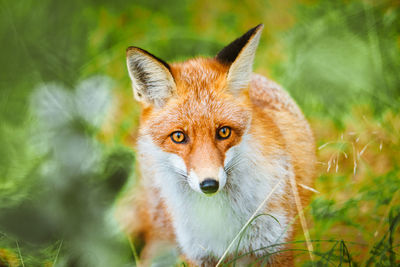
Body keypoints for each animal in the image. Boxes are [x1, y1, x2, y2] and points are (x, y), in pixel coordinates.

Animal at [118, 24, 316, 266]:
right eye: (178, 137)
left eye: (223, 132)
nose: (209, 184)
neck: (221, 220)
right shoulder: (198, 253)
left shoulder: (276, 246)